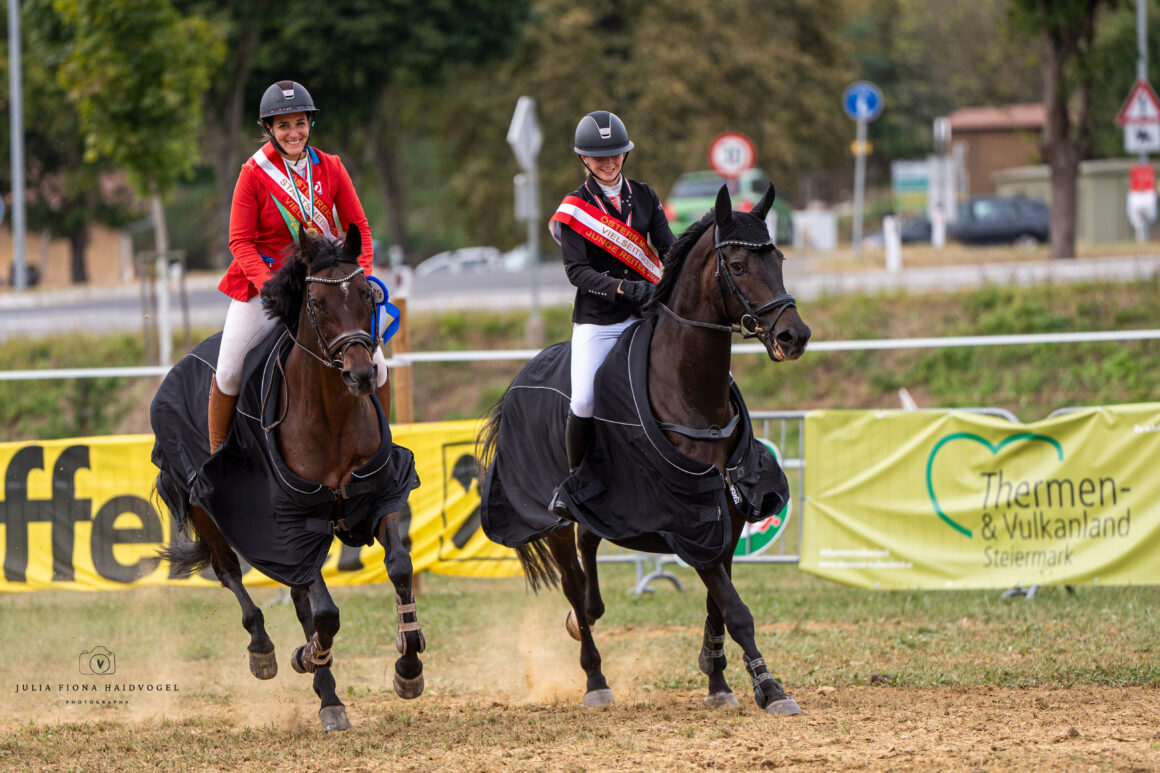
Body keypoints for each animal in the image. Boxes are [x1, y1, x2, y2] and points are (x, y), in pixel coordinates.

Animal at [151, 222, 424, 728]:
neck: (333, 415)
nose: (360, 375)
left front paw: (409, 666)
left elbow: (399, 567)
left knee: (298, 598)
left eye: (367, 294)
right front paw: (307, 655)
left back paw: (328, 695)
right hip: (208, 512)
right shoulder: (290, 520)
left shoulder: (378, 497)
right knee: (231, 575)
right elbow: (326, 613)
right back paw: (269, 653)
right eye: (315, 301)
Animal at [475, 183, 812, 714]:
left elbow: (719, 605)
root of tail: (517, 382)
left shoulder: (726, 519)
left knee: (589, 550)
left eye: (777, 258)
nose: (793, 336)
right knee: (572, 581)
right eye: (738, 266)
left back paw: (592, 616)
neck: (693, 395)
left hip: (597, 502)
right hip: (552, 519)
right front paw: (769, 687)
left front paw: (717, 678)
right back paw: (594, 678)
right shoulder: (689, 522)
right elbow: (736, 609)